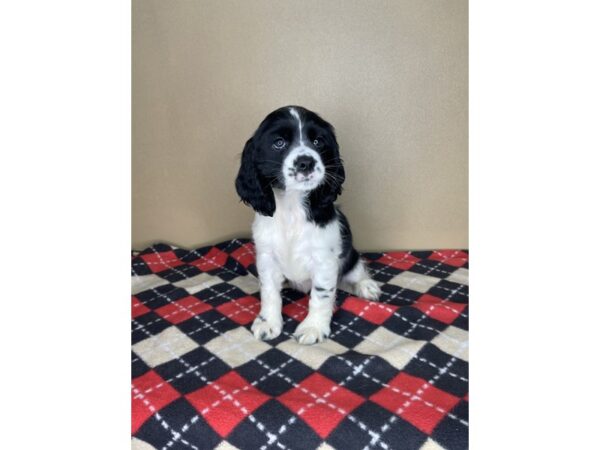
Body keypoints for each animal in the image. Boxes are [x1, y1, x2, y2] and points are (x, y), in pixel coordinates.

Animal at [234, 105, 380, 344]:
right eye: (279, 143)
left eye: (318, 141)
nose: (306, 162)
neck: (293, 208)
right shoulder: (267, 257)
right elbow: (269, 292)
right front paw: (268, 322)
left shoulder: (324, 260)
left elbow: (321, 295)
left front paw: (313, 327)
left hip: (350, 255)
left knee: (354, 272)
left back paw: (365, 286)